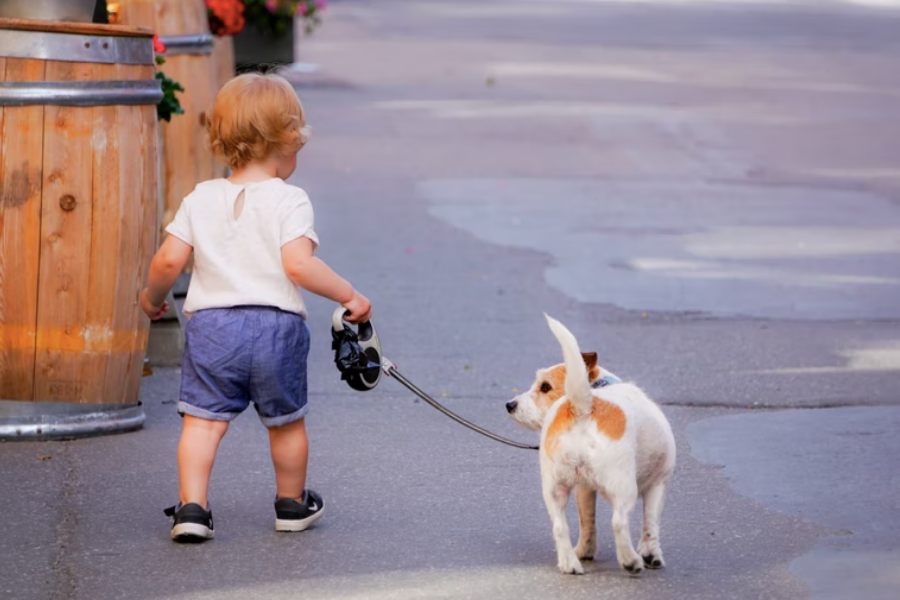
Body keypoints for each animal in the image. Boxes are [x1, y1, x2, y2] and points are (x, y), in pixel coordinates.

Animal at [506, 316, 676, 576]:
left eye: (544, 387)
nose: (510, 405)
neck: (598, 387)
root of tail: (583, 406)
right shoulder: (657, 485)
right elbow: (650, 524)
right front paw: (651, 555)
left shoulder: (584, 489)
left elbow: (587, 521)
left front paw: (585, 551)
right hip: (625, 487)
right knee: (619, 522)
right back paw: (630, 561)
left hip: (554, 489)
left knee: (560, 527)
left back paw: (569, 563)